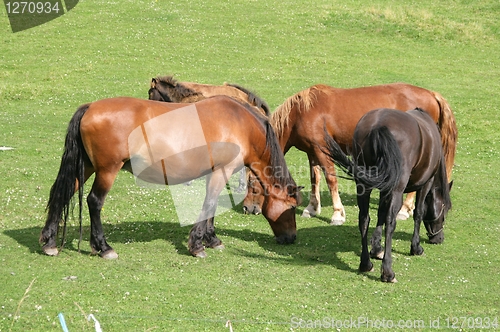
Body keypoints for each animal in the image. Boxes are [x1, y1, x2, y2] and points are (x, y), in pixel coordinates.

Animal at [40, 96, 300, 260]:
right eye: (292, 209)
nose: (292, 238)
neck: (241, 125)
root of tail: (90, 107)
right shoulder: (222, 171)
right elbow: (209, 204)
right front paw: (197, 245)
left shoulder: (213, 173)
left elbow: (211, 207)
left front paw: (211, 239)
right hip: (106, 171)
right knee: (94, 202)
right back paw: (103, 247)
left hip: (86, 168)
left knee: (61, 193)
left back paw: (50, 242)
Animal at [242, 83, 458, 226]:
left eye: (252, 184)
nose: (246, 208)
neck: (301, 112)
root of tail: (431, 94)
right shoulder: (312, 152)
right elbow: (315, 179)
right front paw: (312, 208)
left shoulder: (322, 151)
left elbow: (331, 180)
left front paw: (337, 214)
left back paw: (405, 209)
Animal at [324, 107, 454, 282]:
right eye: (444, 212)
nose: (439, 239)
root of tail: (378, 126)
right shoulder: (425, 184)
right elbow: (418, 213)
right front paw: (416, 247)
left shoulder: (384, 188)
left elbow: (380, 213)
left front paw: (376, 248)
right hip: (396, 190)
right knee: (390, 222)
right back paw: (387, 272)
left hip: (364, 186)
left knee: (364, 219)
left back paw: (366, 264)